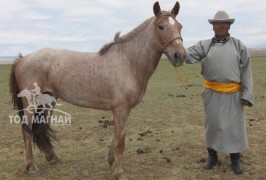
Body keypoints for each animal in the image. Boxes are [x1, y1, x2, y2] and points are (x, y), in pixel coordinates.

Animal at [8, 1, 187, 179]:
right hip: (31, 104)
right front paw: (118, 172)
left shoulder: (123, 110)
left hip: (48, 101)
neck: (128, 61)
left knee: (41, 126)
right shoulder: (120, 109)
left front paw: (111, 161)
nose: (180, 55)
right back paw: (31, 167)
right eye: (161, 27)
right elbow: (121, 140)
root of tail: (22, 59)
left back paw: (53, 158)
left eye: (180, 26)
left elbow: (117, 135)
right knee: (27, 131)